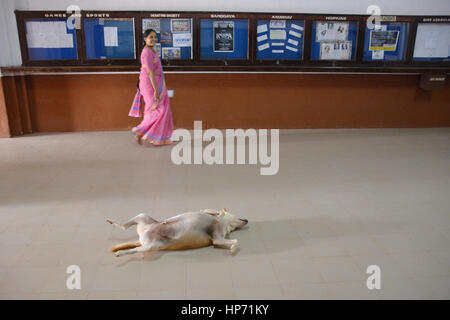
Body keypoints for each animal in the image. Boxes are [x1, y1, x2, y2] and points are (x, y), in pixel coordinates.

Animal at [108, 208, 250, 258]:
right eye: (238, 216)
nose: (247, 220)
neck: (223, 223)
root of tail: (142, 236)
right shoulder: (213, 221)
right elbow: (211, 211)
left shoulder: (217, 238)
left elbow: (235, 241)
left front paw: (232, 248)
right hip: (144, 220)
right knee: (125, 229)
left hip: (150, 244)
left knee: (132, 246)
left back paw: (120, 251)